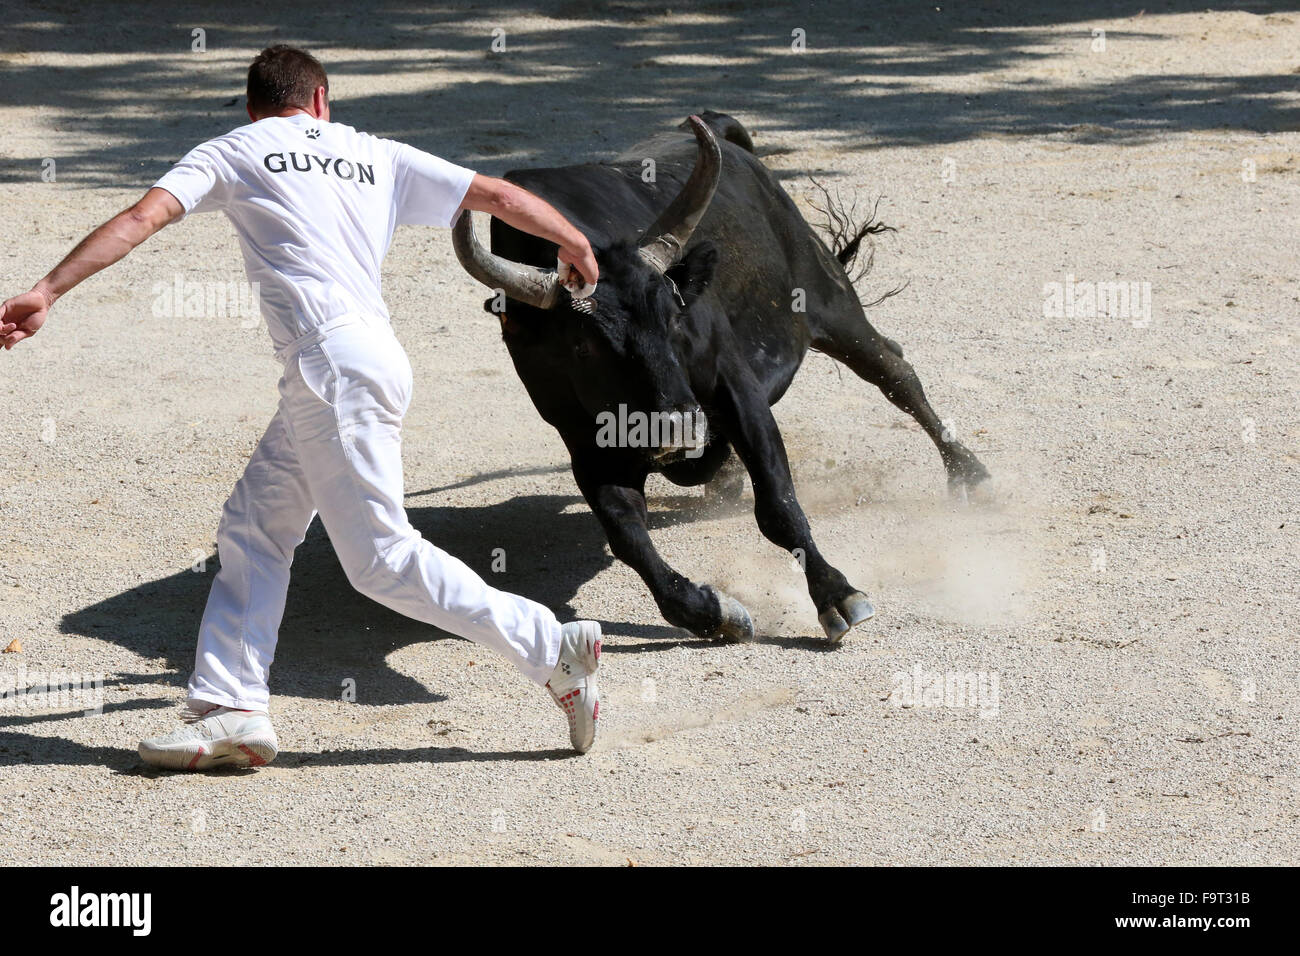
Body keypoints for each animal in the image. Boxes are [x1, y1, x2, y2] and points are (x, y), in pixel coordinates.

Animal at [452, 111, 987, 642]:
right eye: (582, 346)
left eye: (674, 318)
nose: (677, 427)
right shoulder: (585, 443)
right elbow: (629, 536)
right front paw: (714, 613)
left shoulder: (736, 389)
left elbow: (778, 505)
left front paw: (838, 595)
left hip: (833, 305)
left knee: (896, 373)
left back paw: (969, 474)